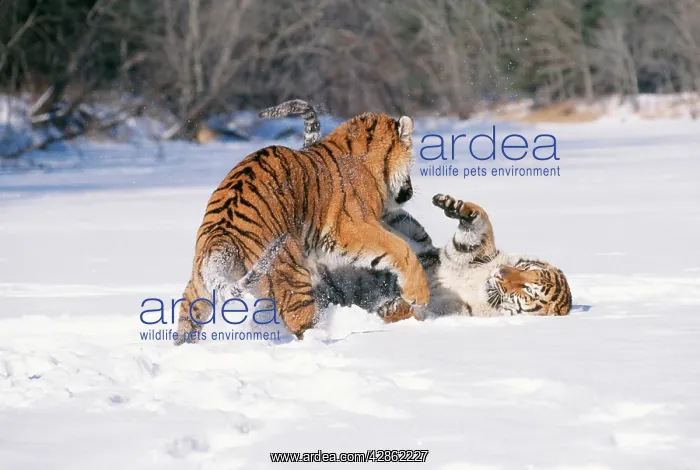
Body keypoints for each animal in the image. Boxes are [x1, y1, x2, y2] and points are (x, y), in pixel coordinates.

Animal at [175, 100, 431, 344]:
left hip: (199, 284)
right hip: (291, 276)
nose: (409, 192)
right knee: (303, 323)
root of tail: (220, 241)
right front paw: (419, 295)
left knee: (189, 311)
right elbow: (400, 248)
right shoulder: (353, 227)